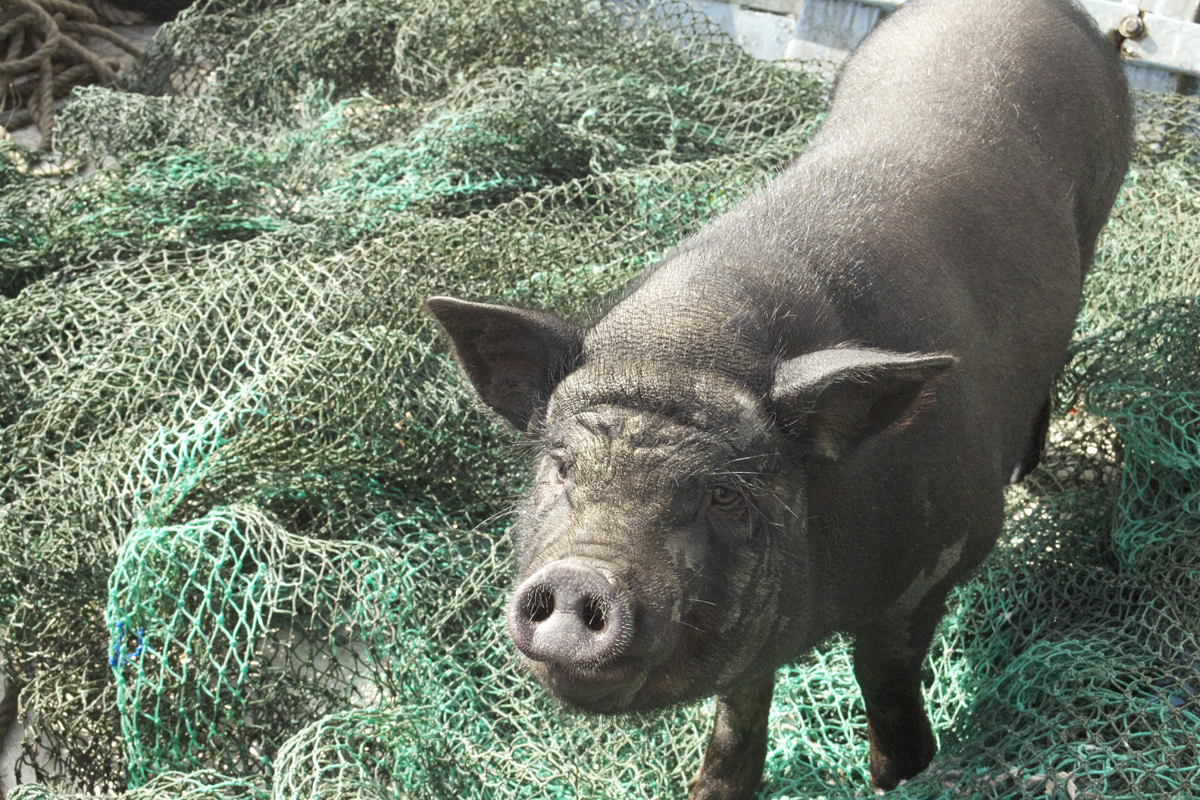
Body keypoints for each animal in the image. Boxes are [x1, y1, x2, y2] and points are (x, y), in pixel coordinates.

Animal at [427, 1, 1128, 796]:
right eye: (559, 466)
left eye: (725, 496)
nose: (580, 581)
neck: (682, 347)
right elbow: (741, 703)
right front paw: (710, 788)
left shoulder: (944, 554)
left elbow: (884, 673)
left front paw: (900, 775)